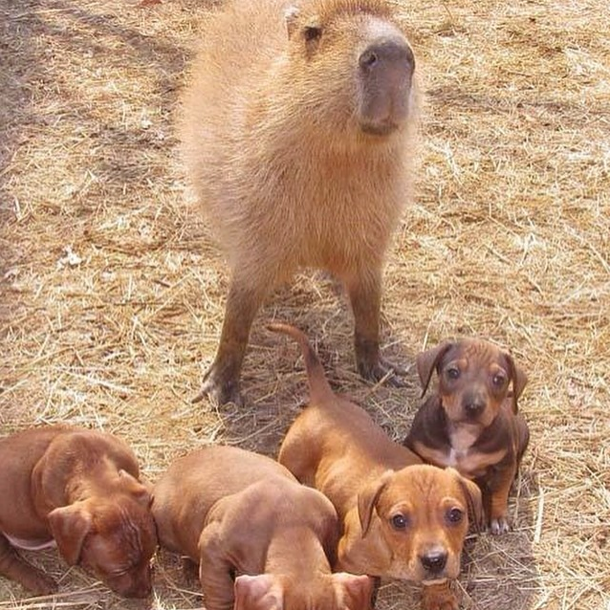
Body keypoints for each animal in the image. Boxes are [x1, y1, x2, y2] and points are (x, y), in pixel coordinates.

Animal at [180, 0, 418, 404]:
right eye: (312, 32)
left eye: (394, 18)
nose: (390, 53)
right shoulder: (255, 239)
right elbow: (238, 309)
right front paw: (218, 389)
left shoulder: (370, 242)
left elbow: (369, 306)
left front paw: (383, 370)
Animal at [270, 324, 480, 608]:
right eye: (398, 521)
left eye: (455, 515)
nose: (434, 560)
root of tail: (325, 400)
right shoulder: (347, 561)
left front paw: (439, 597)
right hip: (291, 460)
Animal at [404, 338, 528, 532]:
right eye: (453, 372)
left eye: (499, 379)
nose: (474, 406)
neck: (464, 433)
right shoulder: (414, 446)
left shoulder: (505, 462)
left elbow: (499, 492)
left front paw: (498, 517)